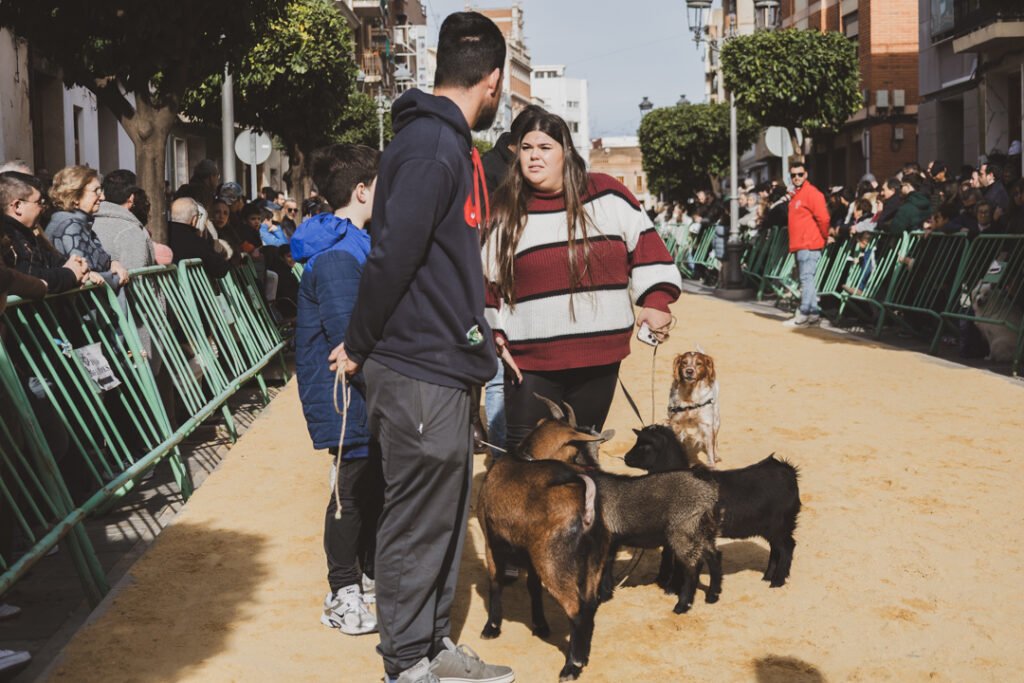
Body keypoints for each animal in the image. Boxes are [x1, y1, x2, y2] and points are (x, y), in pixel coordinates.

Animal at [624, 424, 802, 589]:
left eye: (645, 445)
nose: (625, 457)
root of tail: (787, 470)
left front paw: (672, 586)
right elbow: (668, 555)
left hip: (781, 525)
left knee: (787, 548)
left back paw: (777, 581)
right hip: (772, 528)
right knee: (776, 550)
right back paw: (767, 577)